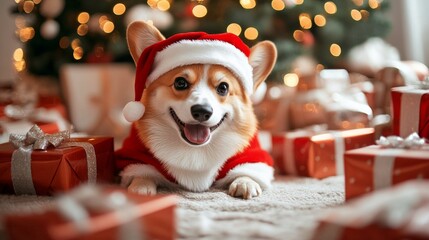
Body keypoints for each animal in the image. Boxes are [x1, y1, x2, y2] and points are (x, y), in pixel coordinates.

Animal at [116, 21, 278, 200]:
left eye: (223, 88)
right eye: (180, 83)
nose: (202, 111)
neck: (195, 151)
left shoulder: (252, 155)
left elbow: (248, 169)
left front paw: (245, 182)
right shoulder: (136, 154)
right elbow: (141, 171)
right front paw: (141, 186)